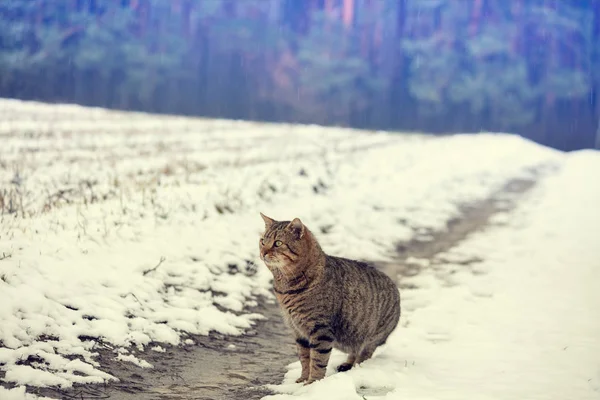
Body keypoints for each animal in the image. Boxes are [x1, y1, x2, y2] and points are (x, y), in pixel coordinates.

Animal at [260, 212, 400, 384]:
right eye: (262, 241)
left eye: (278, 243)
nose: (263, 252)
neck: (286, 286)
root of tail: (395, 288)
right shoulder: (298, 331)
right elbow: (304, 358)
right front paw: (303, 379)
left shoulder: (320, 330)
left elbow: (318, 361)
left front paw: (313, 383)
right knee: (354, 352)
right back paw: (346, 364)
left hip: (371, 338)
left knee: (364, 355)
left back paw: (356, 369)